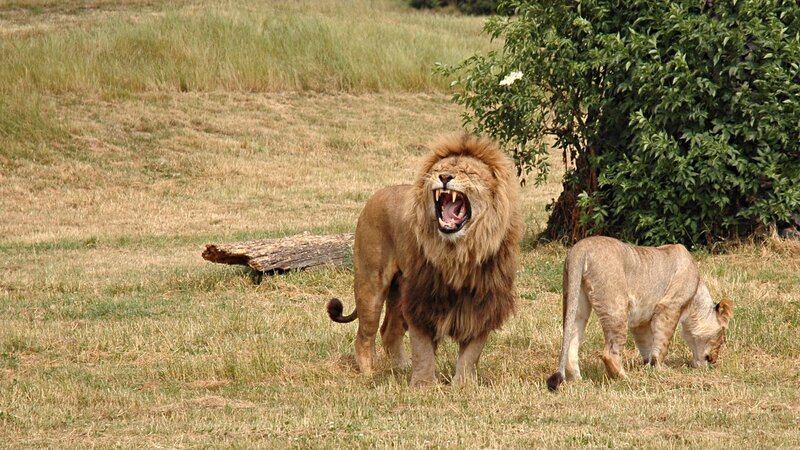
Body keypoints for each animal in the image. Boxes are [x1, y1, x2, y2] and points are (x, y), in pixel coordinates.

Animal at [327, 134, 522, 387]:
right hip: (370, 283)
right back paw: (369, 373)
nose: (445, 177)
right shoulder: (422, 298)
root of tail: (376, 195)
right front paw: (423, 386)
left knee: (389, 331)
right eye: (439, 169)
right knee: (365, 335)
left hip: (399, 290)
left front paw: (464, 386)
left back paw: (400, 368)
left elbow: (471, 353)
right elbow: (423, 350)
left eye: (468, 172)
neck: (459, 253)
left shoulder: (483, 302)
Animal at [547, 236, 733, 391]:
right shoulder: (669, 306)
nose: (714, 360)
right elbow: (662, 342)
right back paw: (625, 378)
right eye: (721, 337)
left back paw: (578, 381)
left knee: (571, 339)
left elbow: (647, 344)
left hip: (576, 301)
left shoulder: (641, 320)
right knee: (609, 353)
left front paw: (649, 366)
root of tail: (581, 248)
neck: (696, 297)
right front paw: (661, 370)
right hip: (617, 306)